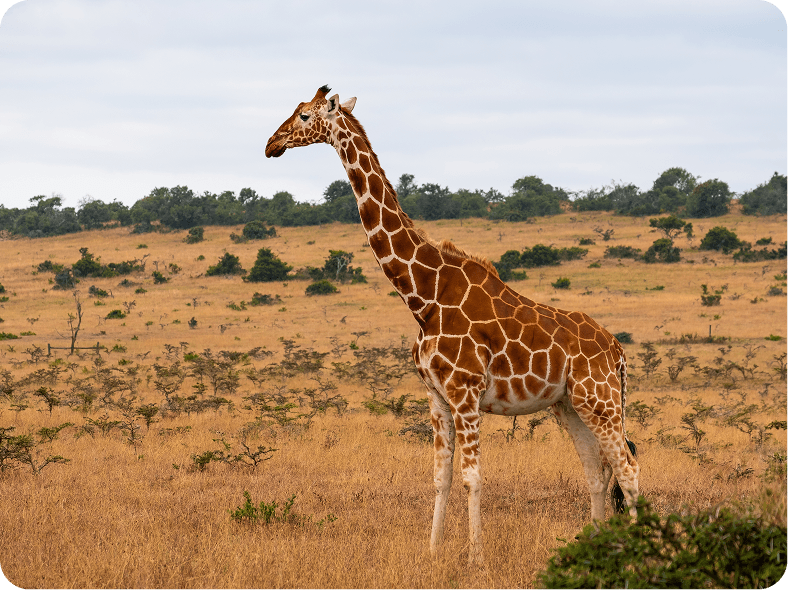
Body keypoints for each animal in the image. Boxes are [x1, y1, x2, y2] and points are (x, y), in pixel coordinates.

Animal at [265, 85, 640, 564]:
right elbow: (440, 477)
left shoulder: (465, 393)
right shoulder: (436, 396)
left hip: (602, 401)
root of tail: (617, 351)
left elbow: (471, 477)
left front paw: (475, 558)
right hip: (570, 405)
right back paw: (594, 546)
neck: (422, 296)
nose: (271, 144)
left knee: (628, 468)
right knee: (597, 468)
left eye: (304, 116)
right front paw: (432, 551)